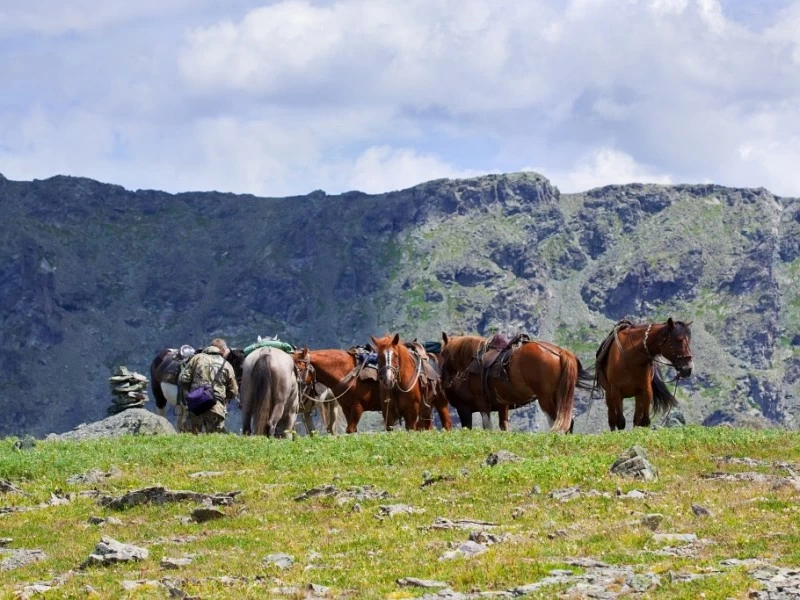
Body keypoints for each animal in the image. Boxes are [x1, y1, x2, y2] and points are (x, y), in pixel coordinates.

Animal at [438, 332, 592, 432]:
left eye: (442, 354)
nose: (444, 380)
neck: (474, 358)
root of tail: (559, 352)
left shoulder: (477, 404)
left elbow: (487, 427)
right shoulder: (502, 404)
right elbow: (504, 426)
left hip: (545, 397)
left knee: (555, 420)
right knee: (567, 421)